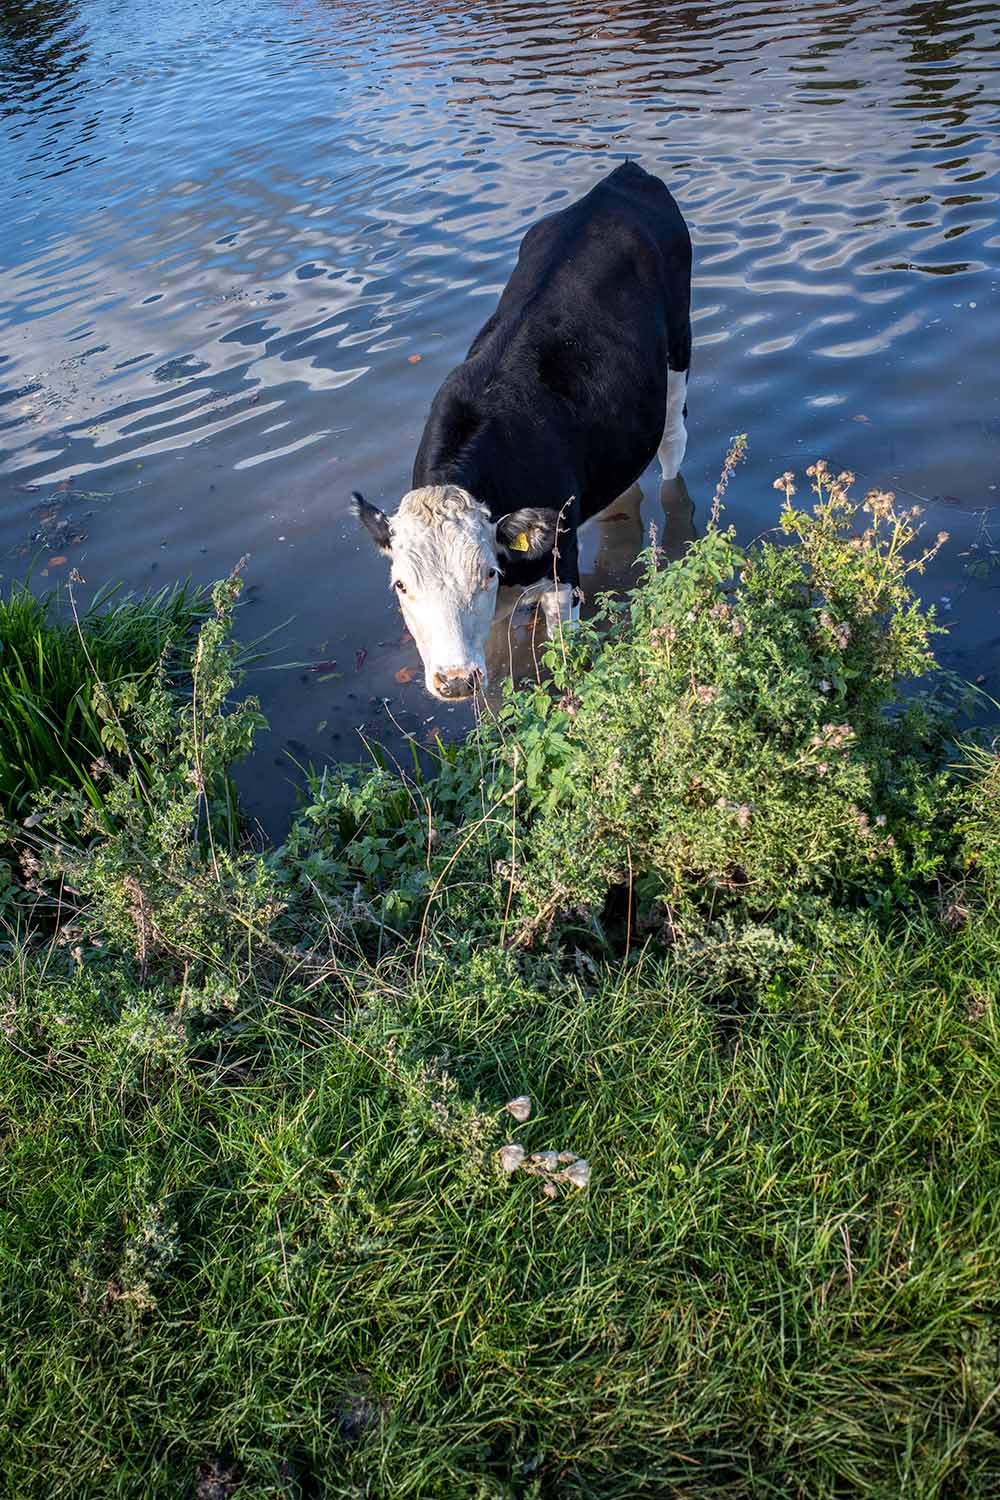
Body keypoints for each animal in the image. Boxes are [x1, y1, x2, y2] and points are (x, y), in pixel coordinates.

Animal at [352, 159, 692, 701]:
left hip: (679, 348)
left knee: (672, 445)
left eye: (486, 572)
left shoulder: (562, 572)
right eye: (401, 585)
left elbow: (564, 659)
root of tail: (622, 177)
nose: (453, 680)